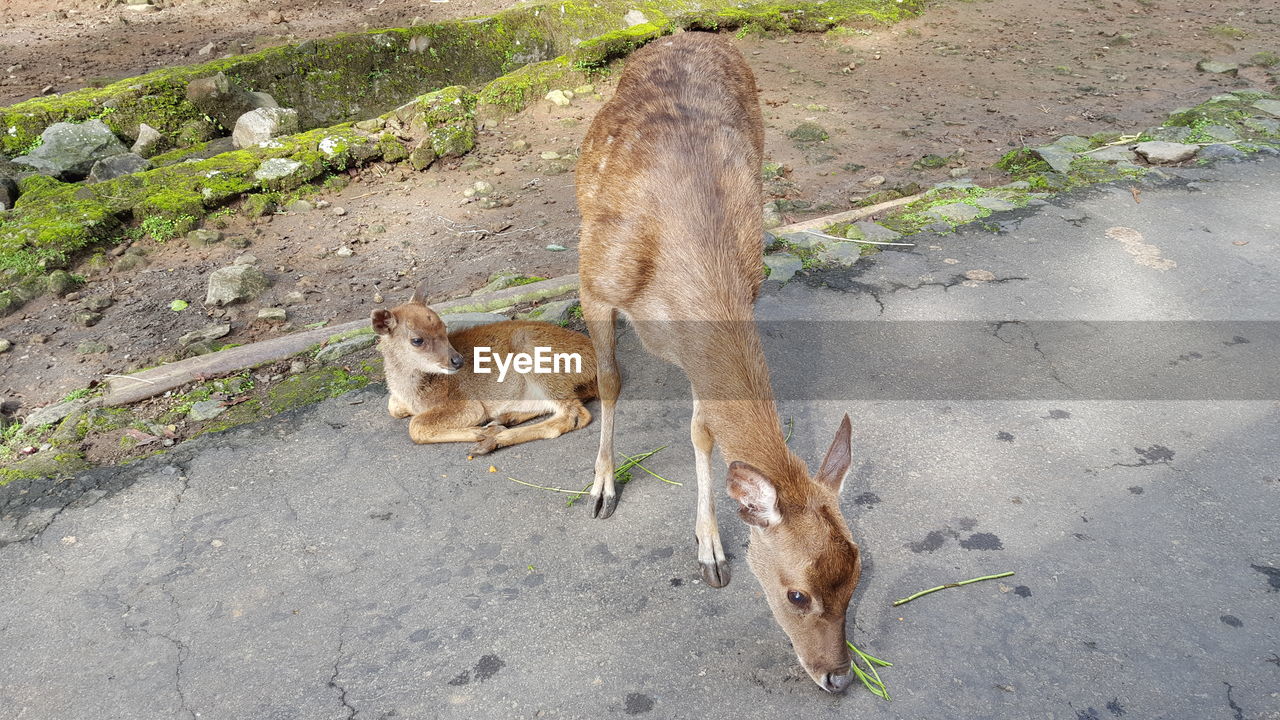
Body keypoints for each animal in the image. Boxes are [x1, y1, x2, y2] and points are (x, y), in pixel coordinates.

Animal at [373, 286, 596, 450]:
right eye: (417, 340)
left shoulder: (467, 403)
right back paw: (504, 419)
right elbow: (393, 408)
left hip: (538, 358)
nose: (457, 361)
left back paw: (494, 439)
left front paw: (480, 432)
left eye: (444, 327)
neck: (413, 393)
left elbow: (415, 426)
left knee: (575, 414)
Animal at [578, 32, 860, 691]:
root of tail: (689, 33)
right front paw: (602, 486)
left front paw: (710, 547)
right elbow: (610, 381)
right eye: (797, 594)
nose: (839, 677)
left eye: (858, 579)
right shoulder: (593, 281)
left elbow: (703, 430)